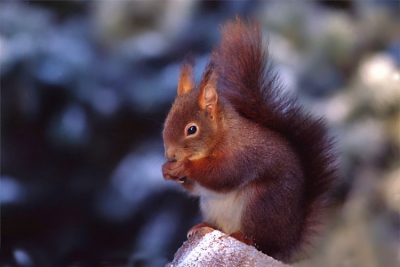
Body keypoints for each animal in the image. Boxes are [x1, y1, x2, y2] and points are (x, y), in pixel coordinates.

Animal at [161, 18, 336, 264]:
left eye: (191, 129)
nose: (170, 155)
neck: (222, 136)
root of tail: (288, 239)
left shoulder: (241, 156)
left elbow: (223, 175)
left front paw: (185, 166)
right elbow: (196, 187)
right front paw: (167, 170)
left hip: (261, 204)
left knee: (260, 242)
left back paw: (243, 237)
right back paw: (204, 226)